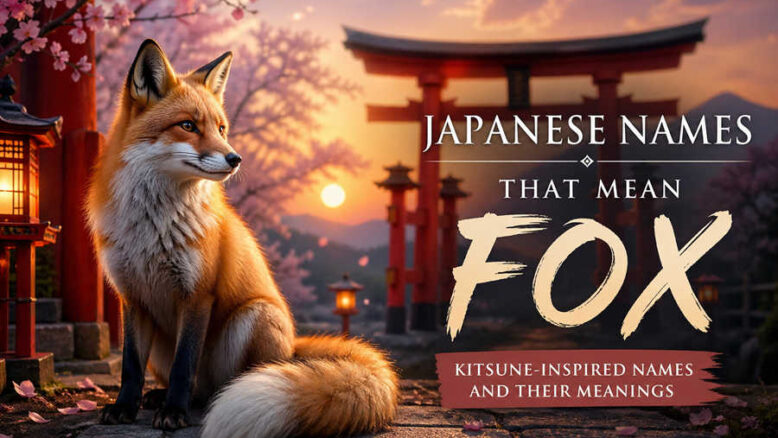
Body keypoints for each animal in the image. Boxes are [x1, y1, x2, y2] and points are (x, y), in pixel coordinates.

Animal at [86, 39, 398, 437]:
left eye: (221, 128)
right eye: (188, 125)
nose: (236, 158)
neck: (152, 227)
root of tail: (293, 347)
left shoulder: (198, 294)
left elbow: (184, 366)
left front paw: (174, 412)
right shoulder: (133, 298)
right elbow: (130, 366)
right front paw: (125, 408)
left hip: (255, 315)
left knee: (223, 384)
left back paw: (211, 399)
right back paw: (158, 397)